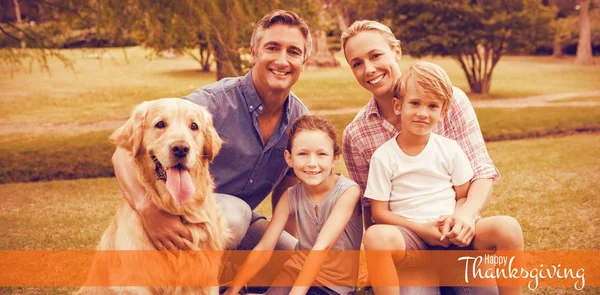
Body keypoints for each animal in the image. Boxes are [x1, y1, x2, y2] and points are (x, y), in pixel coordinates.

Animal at [77, 99, 230, 295]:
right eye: (160, 124)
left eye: (194, 126)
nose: (181, 148)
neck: (178, 207)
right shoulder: (136, 283)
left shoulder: (205, 278)